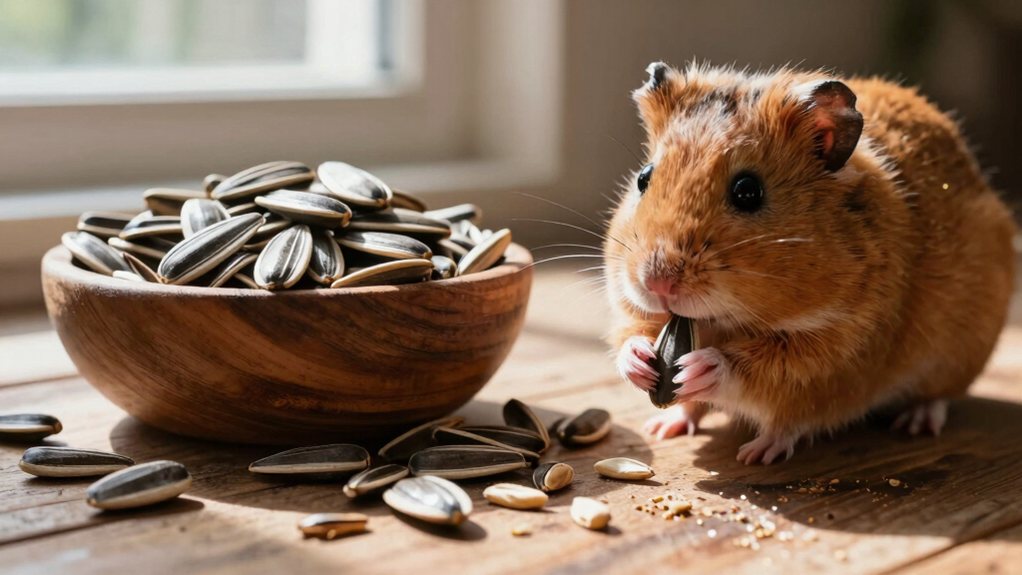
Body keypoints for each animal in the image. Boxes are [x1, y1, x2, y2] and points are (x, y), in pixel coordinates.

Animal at [604, 62, 1015, 464]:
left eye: (747, 191)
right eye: (643, 178)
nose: (657, 283)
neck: (723, 321)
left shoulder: (831, 358)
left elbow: (757, 377)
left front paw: (701, 373)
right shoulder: (637, 312)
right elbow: (630, 334)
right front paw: (640, 363)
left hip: (957, 356)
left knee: (938, 396)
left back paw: (911, 424)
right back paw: (663, 426)